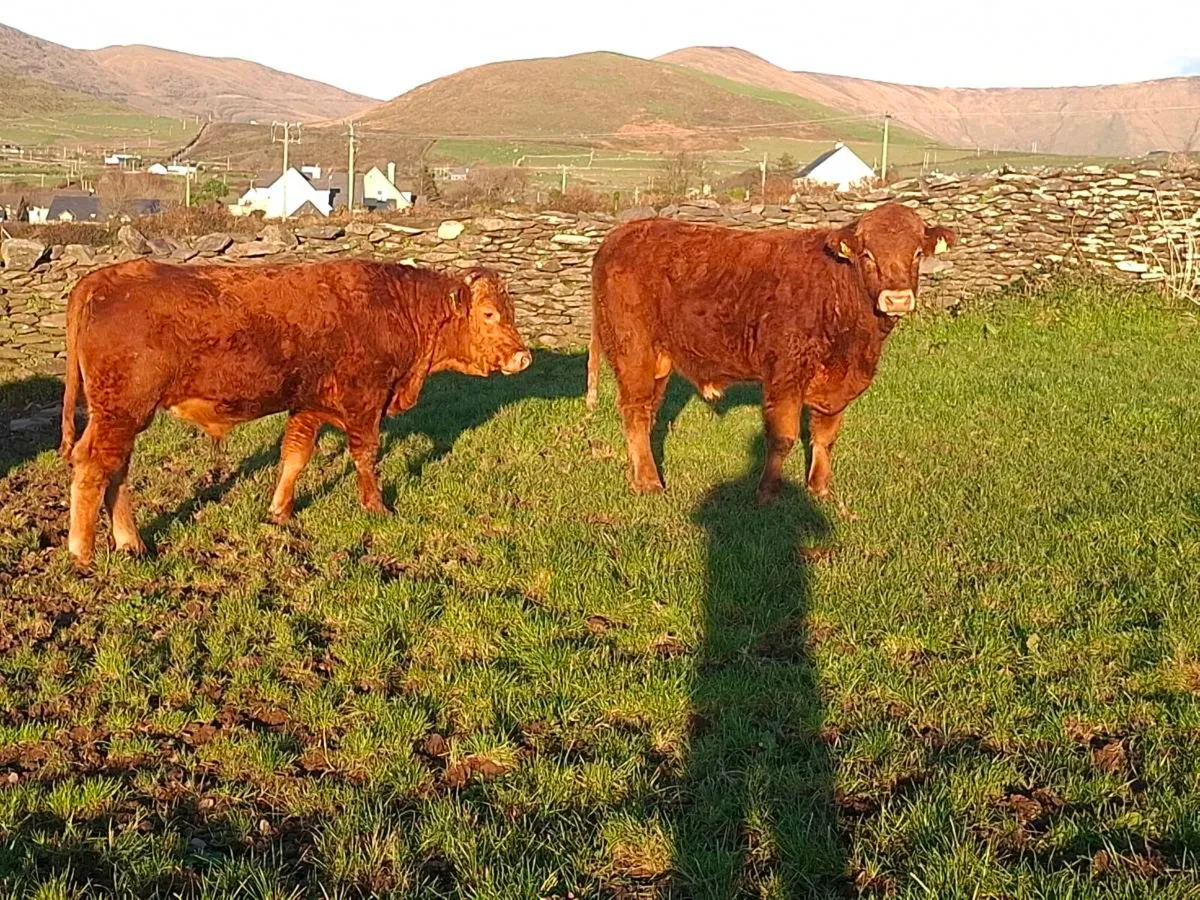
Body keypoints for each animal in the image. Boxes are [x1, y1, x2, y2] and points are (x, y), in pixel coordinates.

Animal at [58, 259, 531, 567]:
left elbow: (295, 457)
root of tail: (103, 277)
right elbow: (366, 456)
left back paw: (131, 543)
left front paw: (279, 512)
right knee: (94, 466)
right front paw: (377, 507)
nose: (523, 357)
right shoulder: (365, 401)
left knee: (116, 471)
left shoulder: (309, 404)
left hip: (122, 416)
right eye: (489, 314)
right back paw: (82, 551)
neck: (397, 308)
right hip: (120, 412)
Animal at [585, 202, 955, 506]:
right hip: (633, 351)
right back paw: (649, 483)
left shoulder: (836, 385)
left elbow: (825, 437)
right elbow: (782, 438)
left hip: (659, 362)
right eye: (868, 255)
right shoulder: (784, 375)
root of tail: (619, 235)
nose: (897, 299)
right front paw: (767, 492)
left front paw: (819, 487)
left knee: (647, 415)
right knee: (634, 412)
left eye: (917, 254)